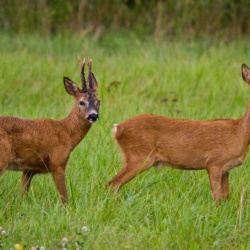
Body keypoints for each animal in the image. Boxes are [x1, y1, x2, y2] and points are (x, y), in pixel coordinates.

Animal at [0, 57, 99, 203]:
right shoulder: (58, 162)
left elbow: (22, 195)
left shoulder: (28, 169)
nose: (93, 115)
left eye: (99, 101)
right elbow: (64, 198)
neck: (66, 132)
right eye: (81, 102)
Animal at [106, 63, 250, 204]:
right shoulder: (214, 163)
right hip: (138, 157)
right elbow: (217, 198)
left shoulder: (226, 169)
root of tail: (117, 128)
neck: (238, 133)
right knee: (113, 184)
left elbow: (225, 197)